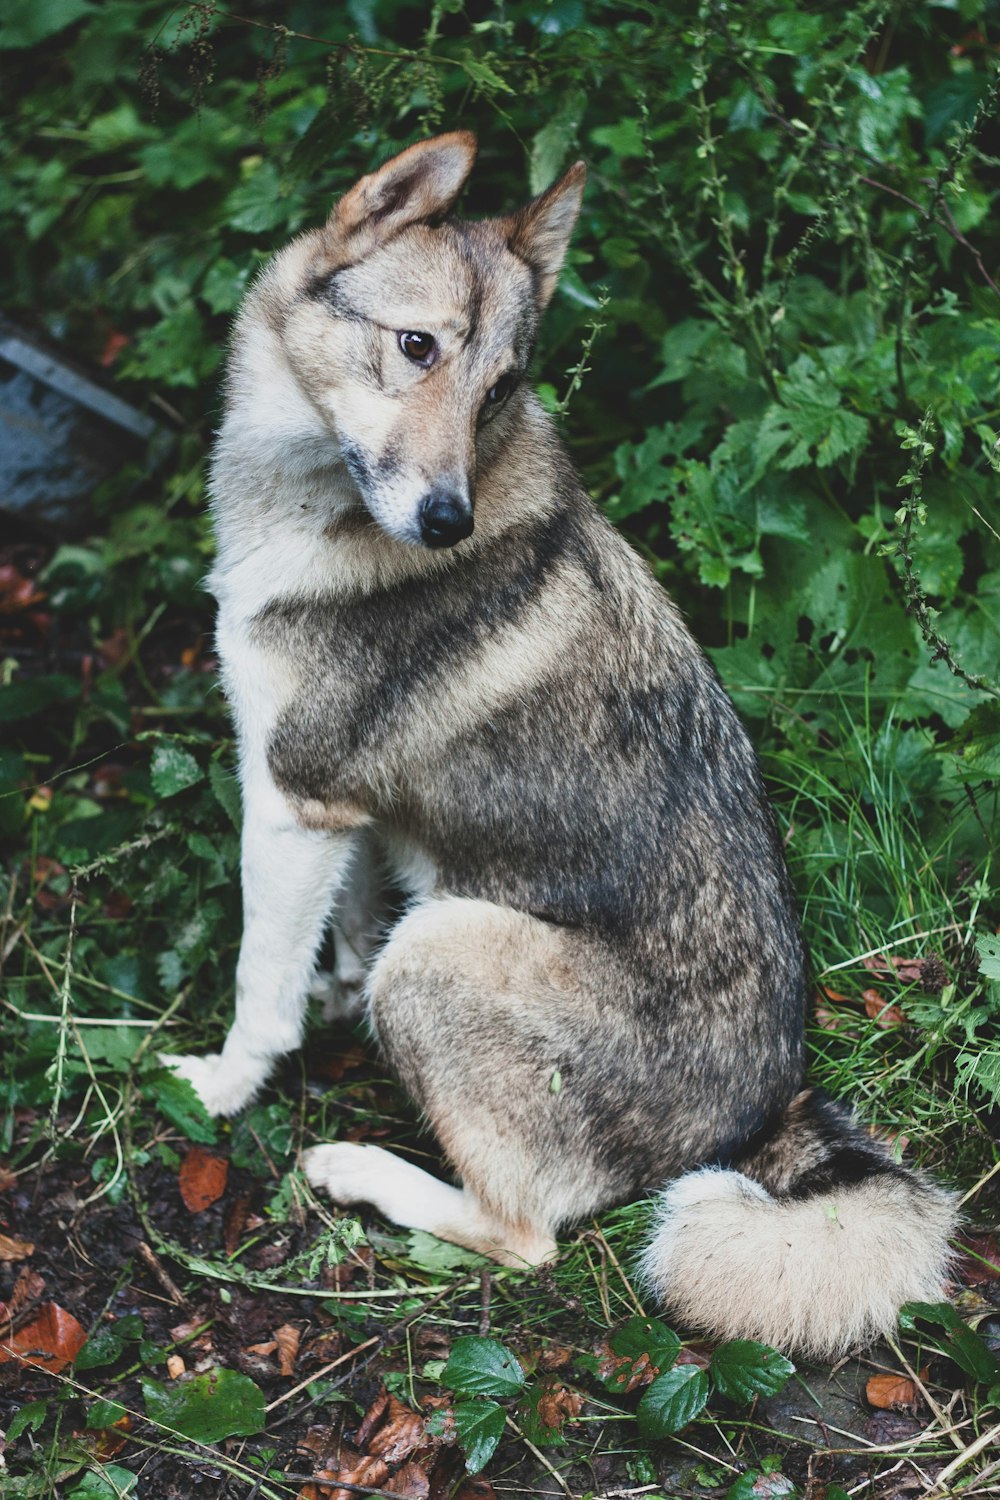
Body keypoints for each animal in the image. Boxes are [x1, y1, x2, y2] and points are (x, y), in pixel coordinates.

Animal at [167, 135, 959, 1362]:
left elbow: (262, 985)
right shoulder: (347, 816)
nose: (446, 520)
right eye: (417, 347)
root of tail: (767, 1109)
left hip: (439, 948)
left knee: (526, 1233)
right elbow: (333, 937)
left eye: (499, 389)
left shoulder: (290, 799)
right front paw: (330, 998)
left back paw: (362, 1171)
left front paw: (221, 1090)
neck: (312, 499)